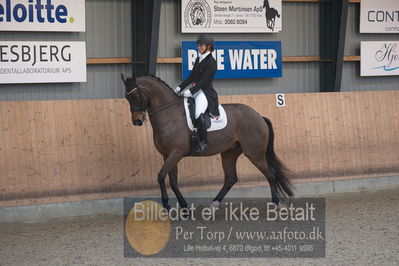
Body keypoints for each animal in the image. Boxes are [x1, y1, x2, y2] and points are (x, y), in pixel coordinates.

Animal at [121, 74, 294, 210]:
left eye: (135, 95)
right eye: (126, 97)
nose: (137, 121)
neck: (168, 114)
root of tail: (259, 116)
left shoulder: (176, 153)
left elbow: (161, 175)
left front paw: (167, 205)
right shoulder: (167, 155)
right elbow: (172, 181)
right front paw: (184, 208)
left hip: (254, 153)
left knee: (270, 174)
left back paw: (277, 204)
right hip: (229, 153)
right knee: (231, 178)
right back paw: (213, 205)